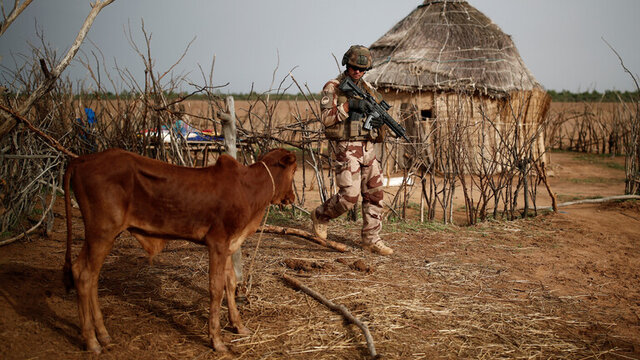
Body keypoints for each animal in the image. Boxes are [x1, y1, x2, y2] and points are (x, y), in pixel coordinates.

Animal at [62, 148, 298, 352]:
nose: (292, 198)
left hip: (101, 235)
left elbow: (230, 284)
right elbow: (216, 289)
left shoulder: (229, 245)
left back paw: (102, 334)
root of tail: (83, 159)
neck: (249, 188)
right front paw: (216, 340)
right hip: (102, 232)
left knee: (86, 274)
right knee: (85, 275)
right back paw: (92, 341)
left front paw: (238, 326)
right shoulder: (218, 244)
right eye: (294, 170)